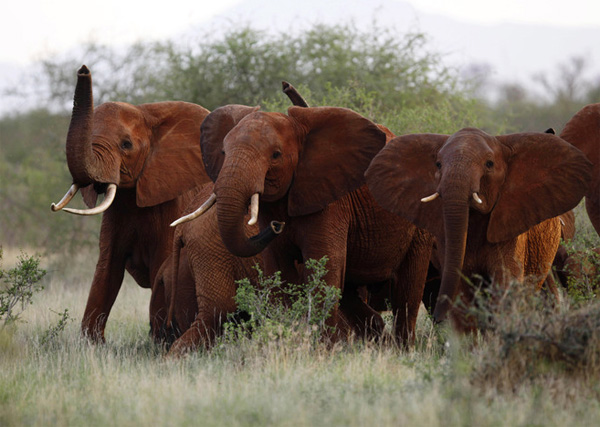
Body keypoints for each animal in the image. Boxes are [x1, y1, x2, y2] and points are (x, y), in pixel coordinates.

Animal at [50, 65, 212, 342]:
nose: (83, 70)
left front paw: (158, 342)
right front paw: (92, 345)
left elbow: (161, 266)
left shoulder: (172, 203)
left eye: (126, 145)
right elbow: (107, 269)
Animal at [185, 104, 434, 344]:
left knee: (407, 294)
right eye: (223, 152)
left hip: (418, 221)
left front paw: (323, 350)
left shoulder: (330, 202)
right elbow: (280, 273)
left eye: (276, 155)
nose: (276, 226)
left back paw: (402, 348)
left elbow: (324, 268)